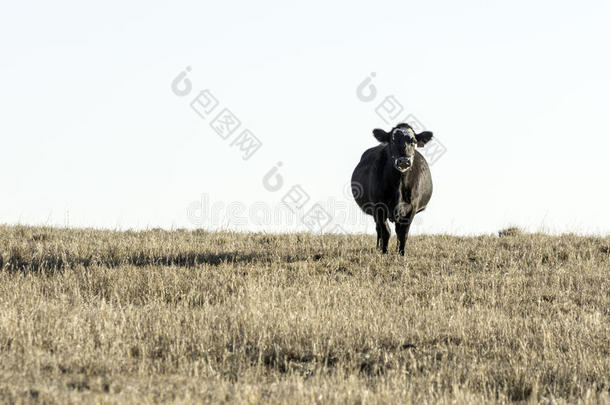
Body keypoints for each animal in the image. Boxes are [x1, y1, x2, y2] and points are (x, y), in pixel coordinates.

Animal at [350, 124, 434, 256]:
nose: (404, 161)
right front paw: (384, 252)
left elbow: (403, 233)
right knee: (379, 229)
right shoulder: (379, 207)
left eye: (414, 141)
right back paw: (378, 248)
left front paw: (401, 254)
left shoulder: (412, 208)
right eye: (393, 141)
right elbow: (386, 231)